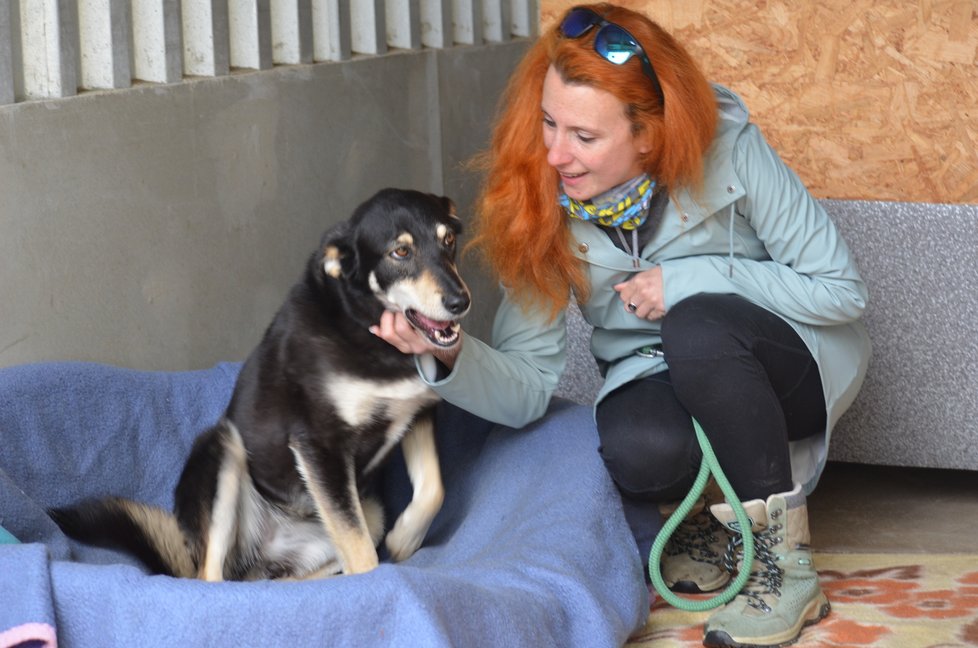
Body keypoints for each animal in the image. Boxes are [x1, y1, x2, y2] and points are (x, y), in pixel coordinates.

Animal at [51, 189, 470, 584]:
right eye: (400, 251)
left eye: (448, 240)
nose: (461, 301)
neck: (367, 330)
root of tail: (264, 548)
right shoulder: (320, 444)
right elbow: (362, 552)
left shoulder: (418, 412)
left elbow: (433, 488)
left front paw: (406, 539)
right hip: (222, 446)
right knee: (211, 580)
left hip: (369, 512)